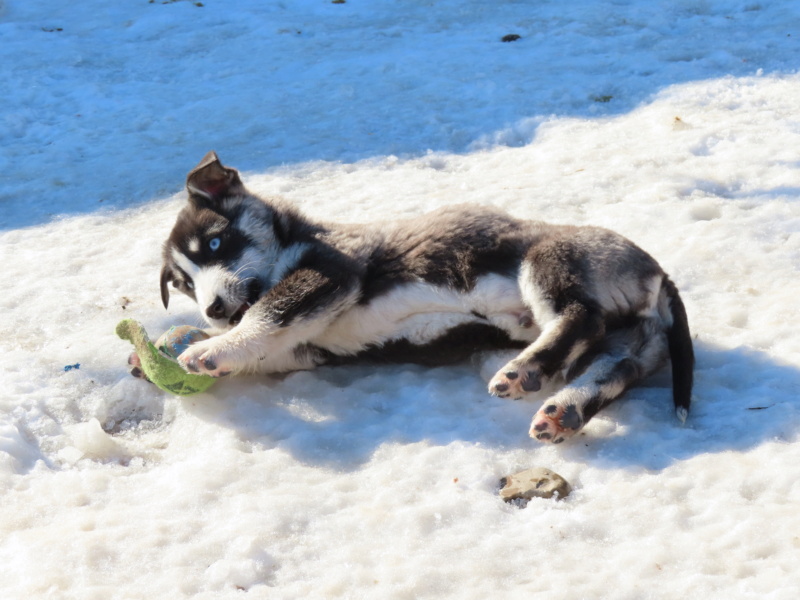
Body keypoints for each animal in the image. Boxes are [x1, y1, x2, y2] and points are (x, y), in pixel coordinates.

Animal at [159, 152, 692, 442]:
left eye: (215, 243)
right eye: (183, 284)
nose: (214, 310)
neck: (293, 240)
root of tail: (659, 273)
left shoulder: (330, 272)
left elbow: (268, 314)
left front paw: (210, 349)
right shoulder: (308, 348)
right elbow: (268, 343)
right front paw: (191, 339)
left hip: (547, 260)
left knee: (581, 317)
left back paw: (524, 371)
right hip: (634, 340)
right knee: (613, 368)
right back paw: (564, 412)